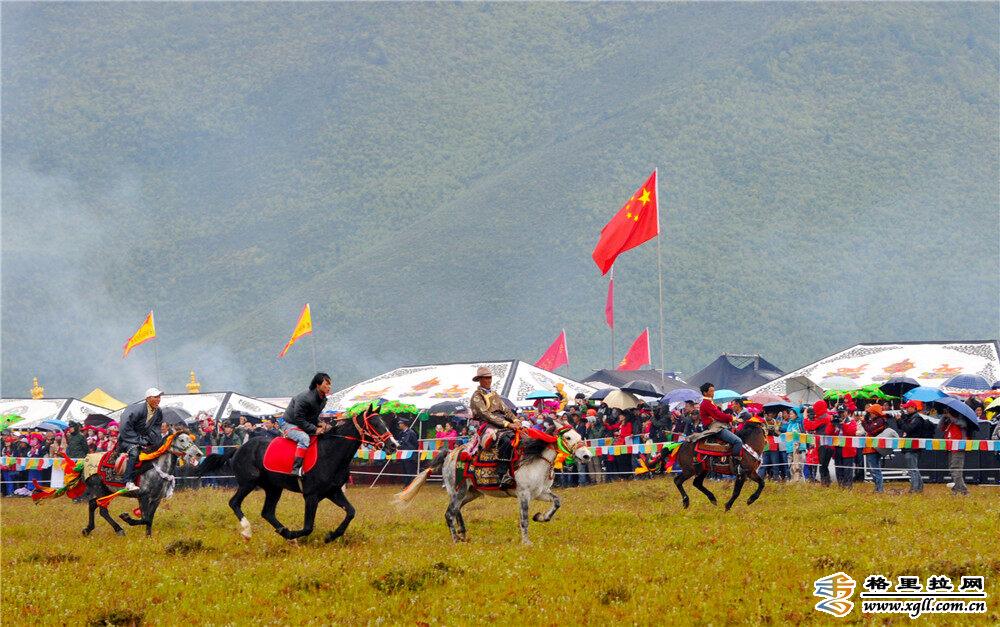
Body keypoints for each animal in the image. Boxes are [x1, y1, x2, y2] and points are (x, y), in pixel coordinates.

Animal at [198, 406, 397, 543]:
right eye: (374, 423)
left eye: (384, 422)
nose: (394, 445)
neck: (331, 453)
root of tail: (239, 448)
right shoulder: (311, 495)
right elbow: (308, 527)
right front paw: (295, 534)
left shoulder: (333, 491)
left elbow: (351, 512)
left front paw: (331, 535)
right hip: (248, 483)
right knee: (234, 502)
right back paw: (249, 531)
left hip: (273, 488)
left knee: (267, 512)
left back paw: (283, 532)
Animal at [395, 417, 592, 545]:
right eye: (568, 437)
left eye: (579, 435)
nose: (586, 456)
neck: (535, 458)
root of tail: (450, 454)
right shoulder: (524, 494)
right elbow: (524, 519)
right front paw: (526, 542)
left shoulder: (540, 493)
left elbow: (557, 502)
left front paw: (541, 517)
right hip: (458, 491)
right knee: (449, 513)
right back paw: (456, 539)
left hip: (470, 493)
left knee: (456, 510)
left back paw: (463, 534)